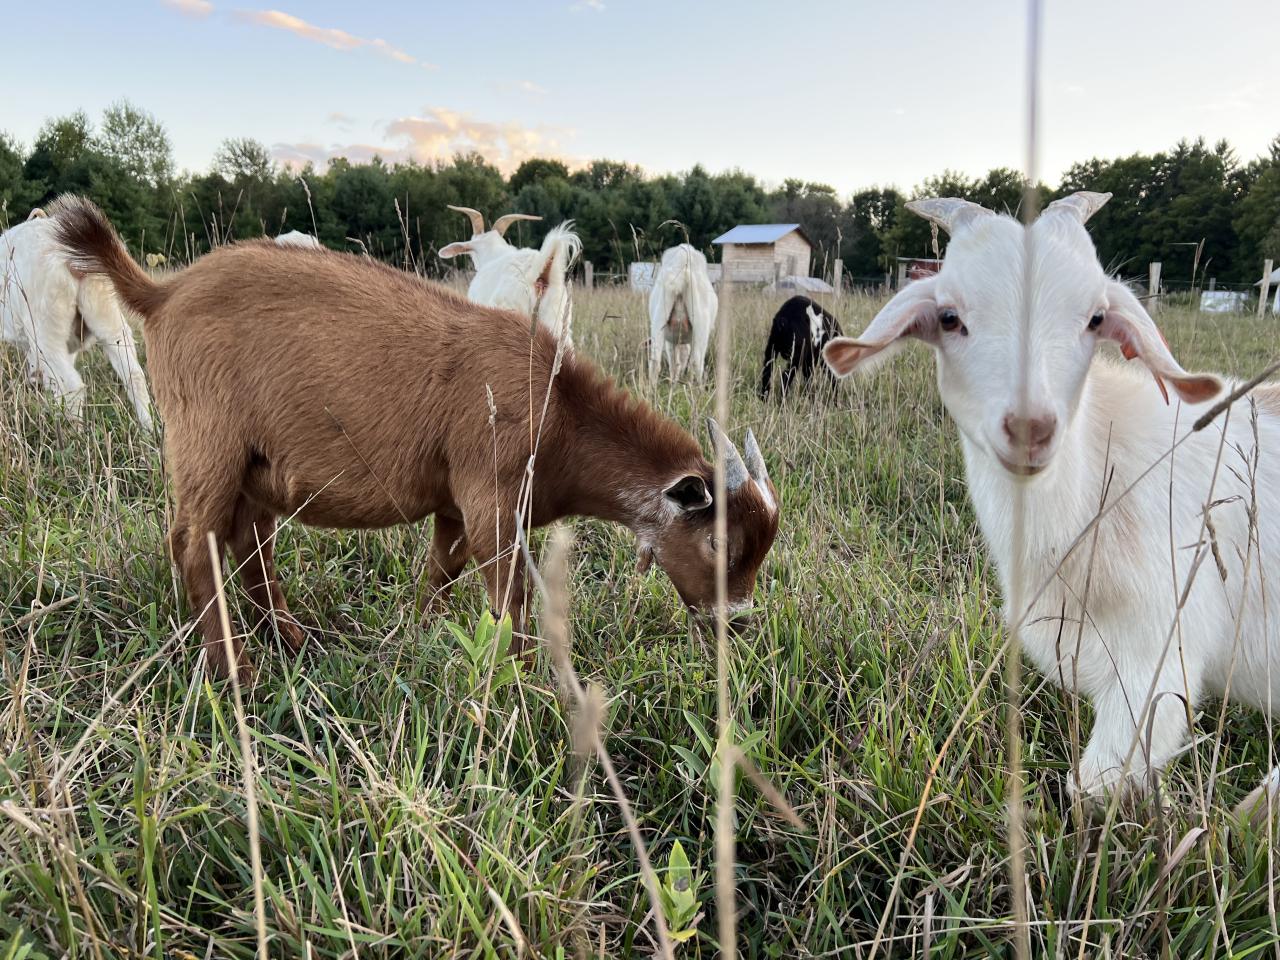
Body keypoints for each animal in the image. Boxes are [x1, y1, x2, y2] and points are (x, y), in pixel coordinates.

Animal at [1, 196, 152, 427]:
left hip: (46, 330)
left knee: (72, 387)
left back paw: (73, 431)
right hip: (108, 316)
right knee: (134, 375)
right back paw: (148, 429)